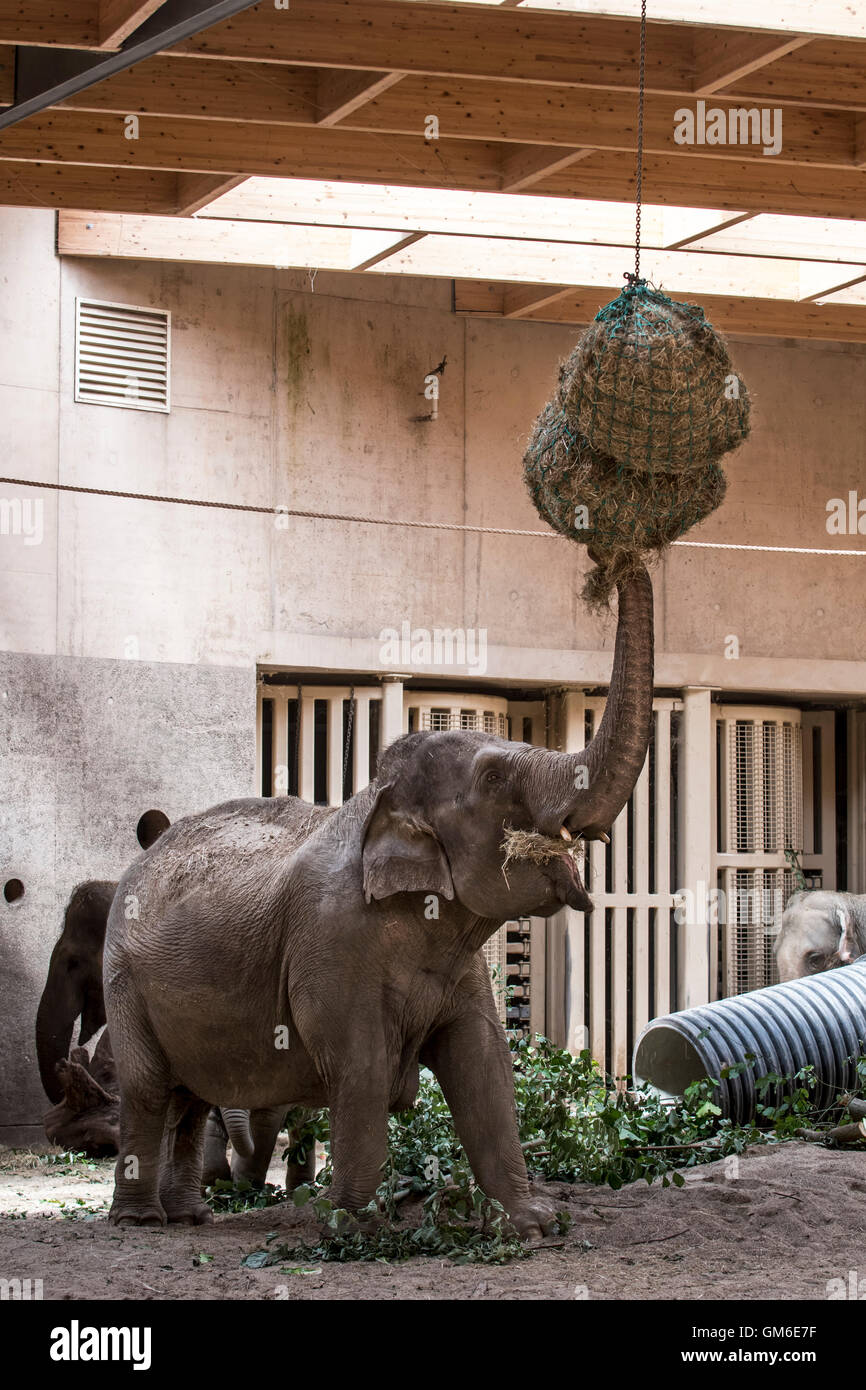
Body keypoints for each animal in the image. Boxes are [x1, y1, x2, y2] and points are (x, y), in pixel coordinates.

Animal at [104, 561, 654, 1234]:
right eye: (494, 777)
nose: (617, 562)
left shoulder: (459, 964)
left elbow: (485, 1063)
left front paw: (535, 1223)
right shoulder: (330, 946)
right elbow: (360, 1065)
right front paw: (354, 1229)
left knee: (190, 1096)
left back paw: (190, 1219)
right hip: (123, 981)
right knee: (148, 1089)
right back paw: (139, 1222)